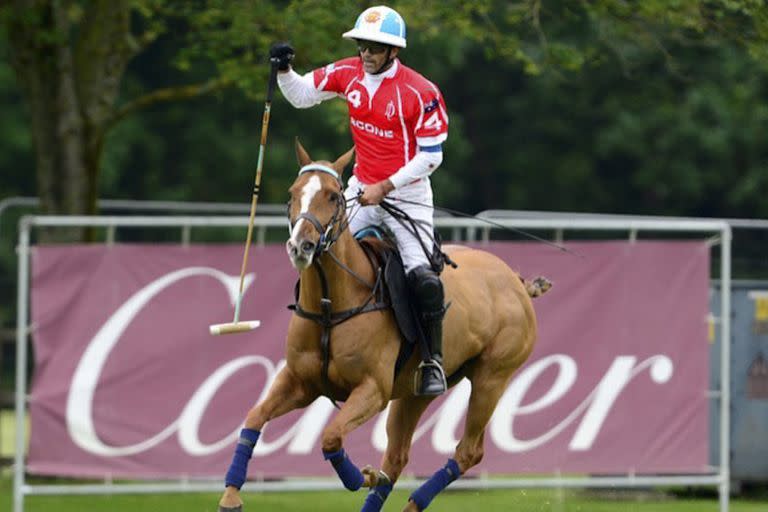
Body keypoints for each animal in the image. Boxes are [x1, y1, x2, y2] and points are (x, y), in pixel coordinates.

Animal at [219, 141, 548, 512]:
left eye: (332, 195)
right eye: (293, 193)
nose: (301, 246)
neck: (331, 305)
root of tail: (517, 281)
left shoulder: (371, 390)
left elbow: (330, 437)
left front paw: (365, 476)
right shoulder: (299, 382)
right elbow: (253, 417)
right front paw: (230, 495)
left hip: (493, 376)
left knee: (468, 451)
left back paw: (413, 501)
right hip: (414, 392)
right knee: (398, 456)